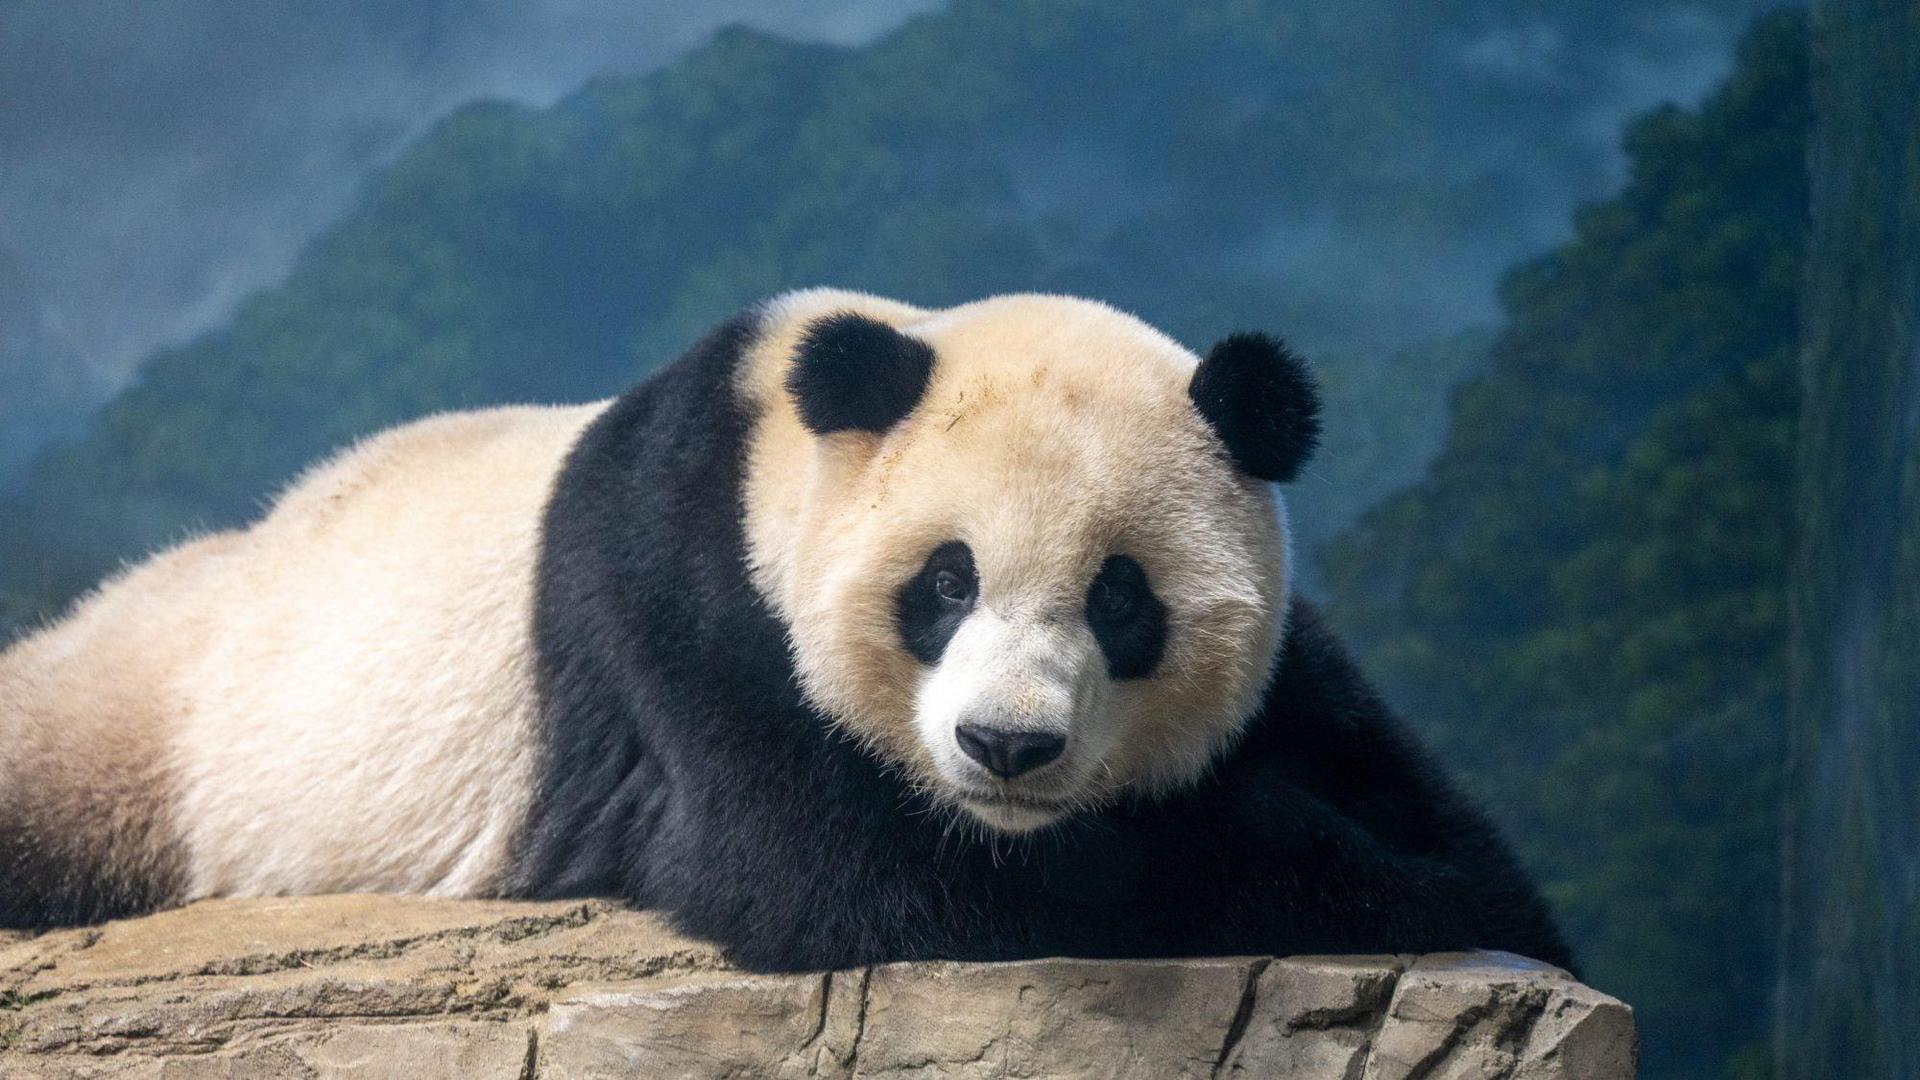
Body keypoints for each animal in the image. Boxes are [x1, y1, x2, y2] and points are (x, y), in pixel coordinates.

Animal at [0, 289, 1570, 972]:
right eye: (945, 583)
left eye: (1123, 598)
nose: (1007, 749)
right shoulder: (686, 612)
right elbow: (850, 873)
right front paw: (1352, 883)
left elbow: (1423, 808)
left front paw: (1469, 895)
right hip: (153, 730)